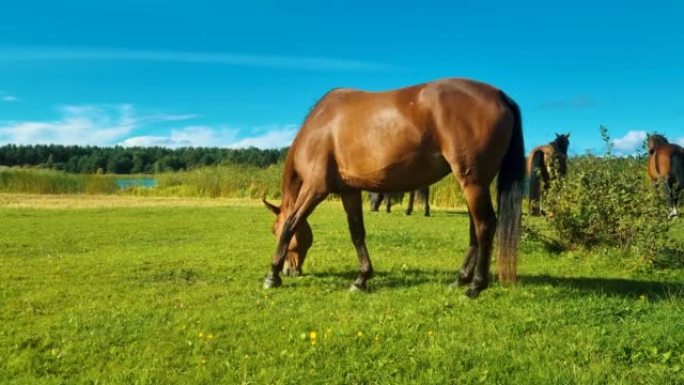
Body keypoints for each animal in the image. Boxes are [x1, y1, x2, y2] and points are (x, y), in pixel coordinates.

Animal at [260, 78, 524, 296]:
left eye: (272, 230)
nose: (290, 270)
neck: (320, 126)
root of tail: (501, 95)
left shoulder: (315, 188)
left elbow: (291, 223)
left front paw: (272, 276)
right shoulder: (349, 191)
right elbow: (357, 233)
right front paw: (361, 278)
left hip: (473, 182)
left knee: (485, 226)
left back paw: (476, 286)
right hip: (474, 184)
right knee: (474, 231)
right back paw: (460, 279)